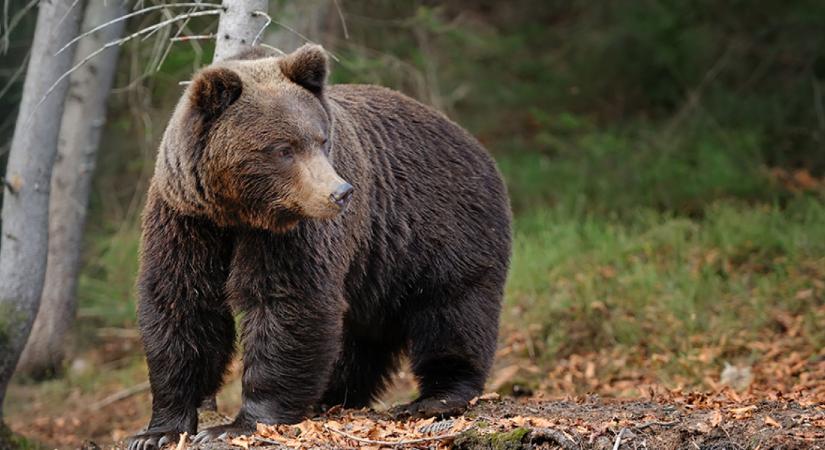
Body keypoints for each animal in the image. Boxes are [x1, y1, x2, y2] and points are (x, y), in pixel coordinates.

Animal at [127, 43, 508, 450]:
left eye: (322, 140)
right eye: (283, 149)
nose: (340, 193)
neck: (239, 212)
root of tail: (473, 143)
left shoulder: (295, 233)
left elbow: (289, 302)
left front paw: (238, 423)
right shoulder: (186, 219)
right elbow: (180, 304)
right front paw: (159, 430)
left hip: (444, 229)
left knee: (453, 310)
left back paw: (436, 396)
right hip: (375, 264)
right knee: (359, 335)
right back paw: (332, 395)